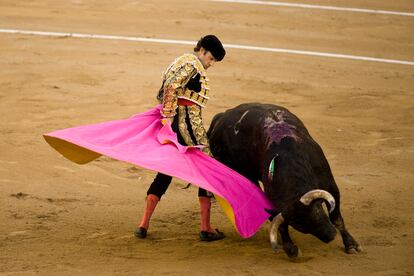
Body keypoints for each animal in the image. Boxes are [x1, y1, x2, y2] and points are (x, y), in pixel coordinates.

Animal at [209, 102, 360, 258]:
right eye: (301, 227)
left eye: (318, 212)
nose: (330, 236)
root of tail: (221, 117)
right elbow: (280, 223)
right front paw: (290, 248)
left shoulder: (330, 185)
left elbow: (336, 217)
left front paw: (351, 245)